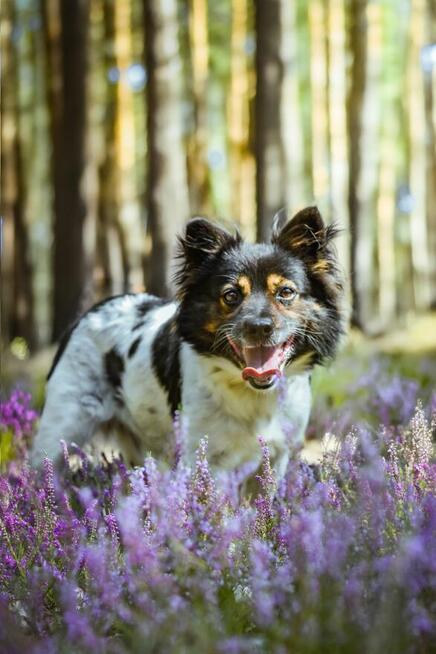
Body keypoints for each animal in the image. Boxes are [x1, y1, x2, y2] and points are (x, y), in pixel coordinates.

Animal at [29, 208, 344, 480]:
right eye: (231, 295)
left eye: (286, 292)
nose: (258, 327)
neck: (250, 393)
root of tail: (89, 312)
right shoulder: (204, 458)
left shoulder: (276, 456)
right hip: (61, 429)